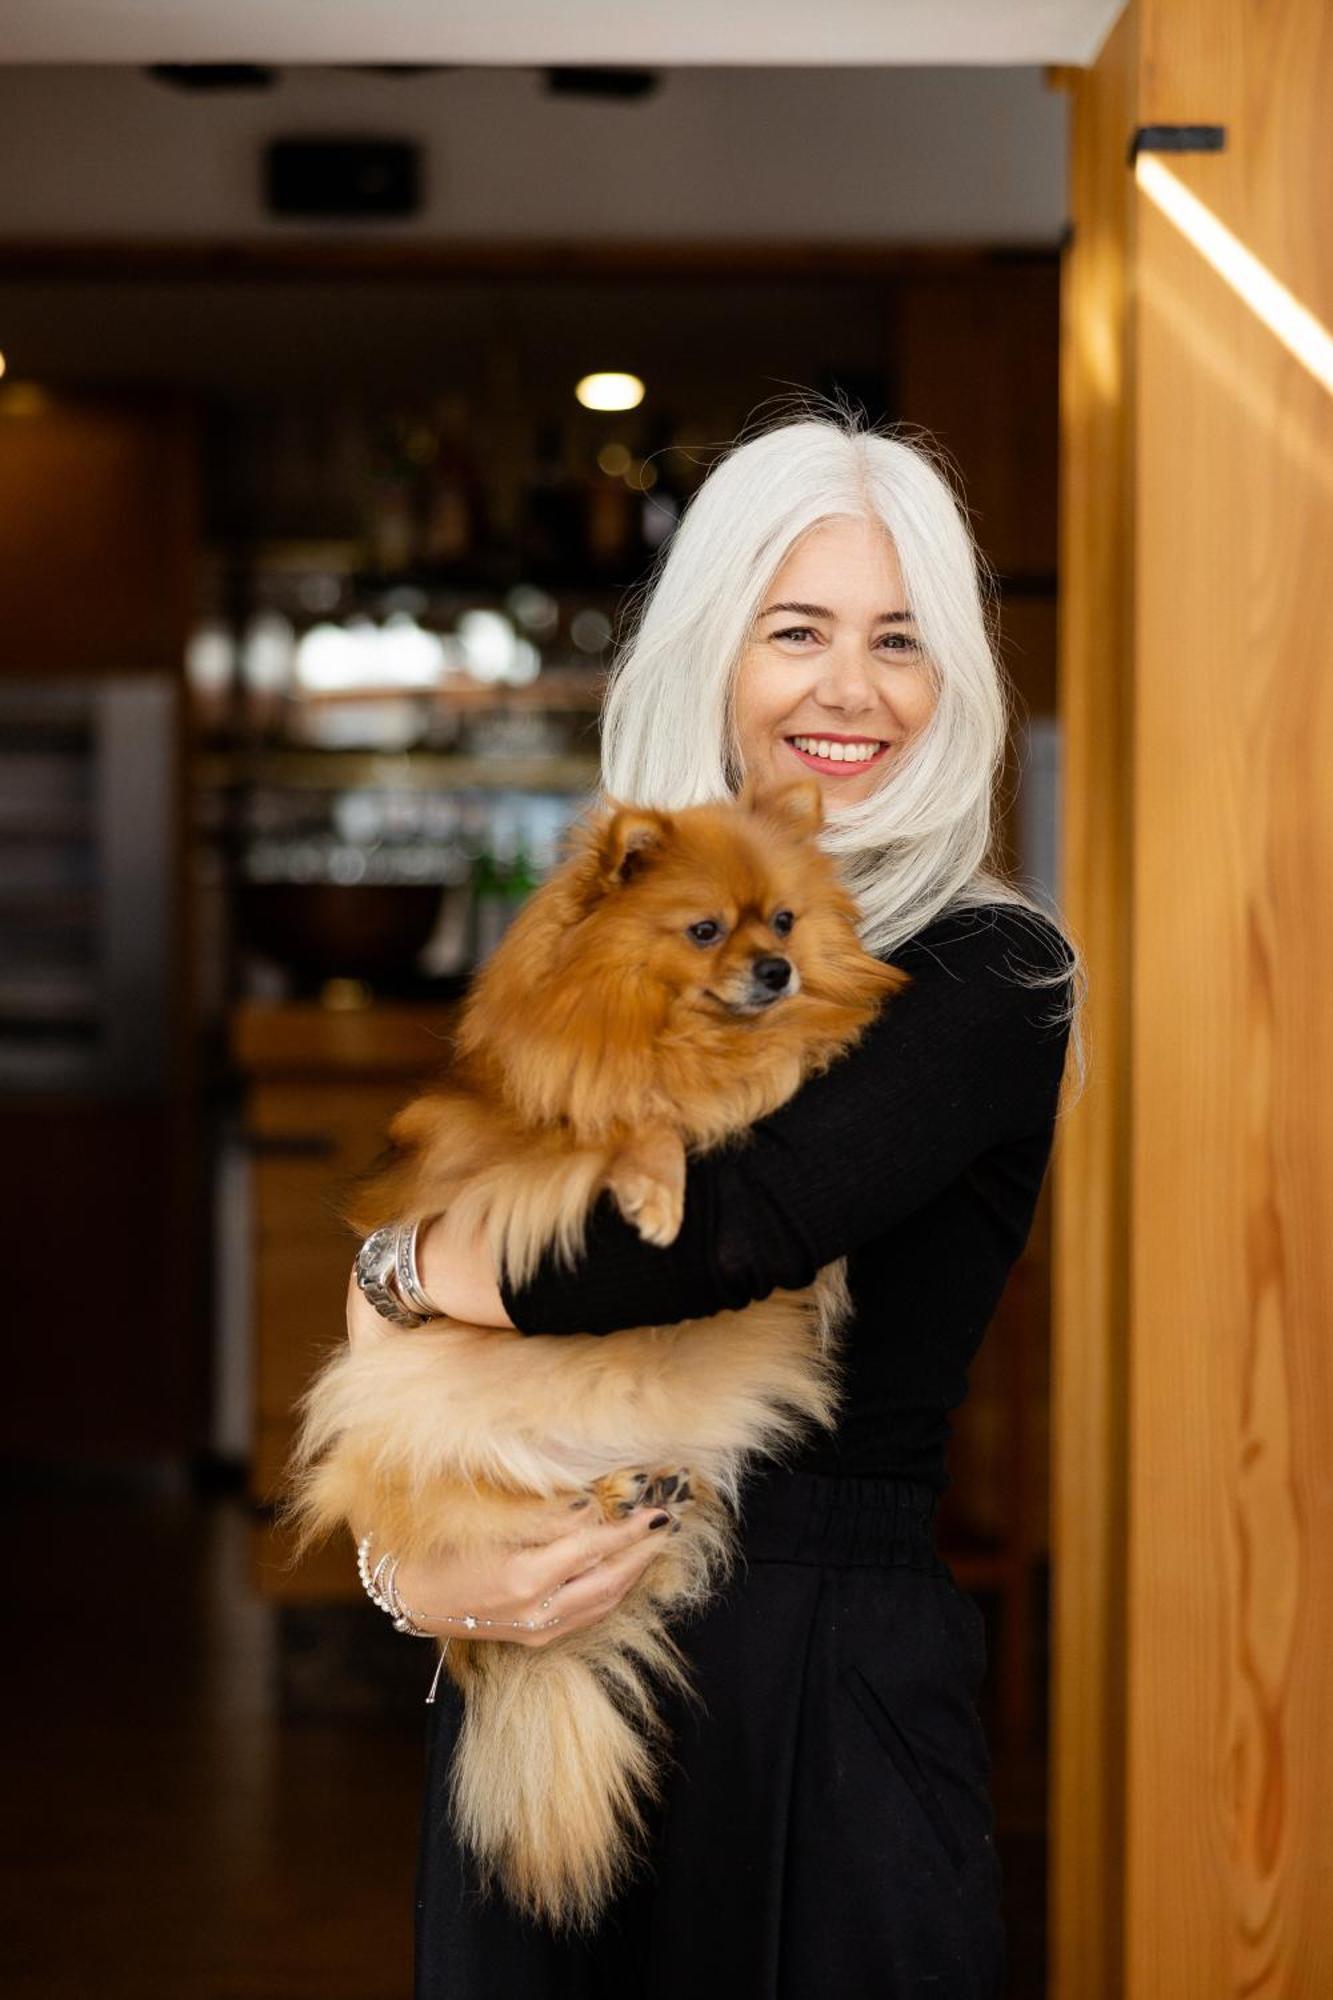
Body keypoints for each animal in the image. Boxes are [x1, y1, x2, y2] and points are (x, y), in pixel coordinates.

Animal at [278, 764, 904, 1920]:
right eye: (703, 929)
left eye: (784, 920)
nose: (778, 969)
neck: (682, 1034)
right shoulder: (525, 1156)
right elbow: (622, 1125)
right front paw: (657, 1183)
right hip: (421, 1414)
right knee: (489, 1500)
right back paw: (608, 1494)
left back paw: (634, 1489)